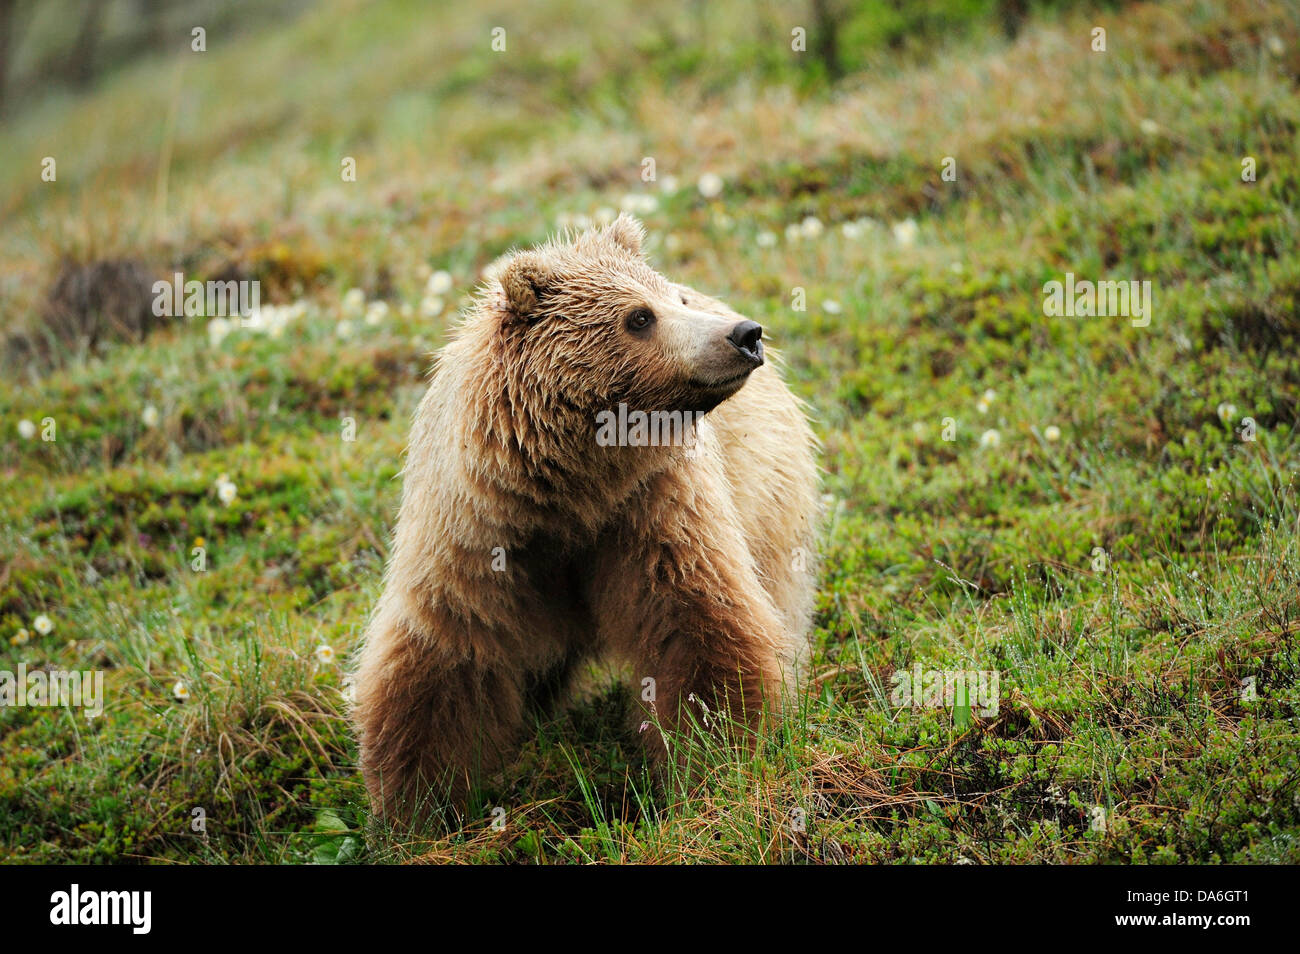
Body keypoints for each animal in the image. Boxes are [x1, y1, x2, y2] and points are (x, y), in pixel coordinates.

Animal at [353, 213, 821, 826]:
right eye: (639, 316)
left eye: (676, 296)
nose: (744, 334)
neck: (574, 494)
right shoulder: (478, 535)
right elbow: (442, 661)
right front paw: (419, 805)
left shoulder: (652, 511)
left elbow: (699, 627)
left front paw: (716, 758)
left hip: (770, 501)